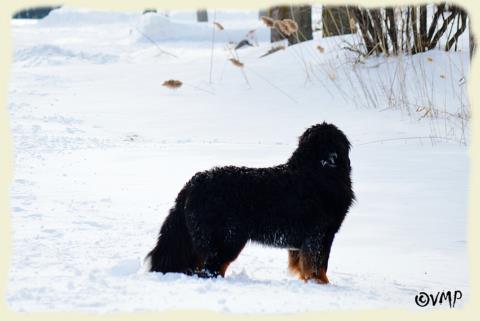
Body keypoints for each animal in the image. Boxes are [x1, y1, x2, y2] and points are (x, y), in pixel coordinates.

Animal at [145, 121, 352, 282]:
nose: (332, 158)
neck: (319, 171)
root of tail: (194, 183)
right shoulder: (319, 234)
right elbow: (319, 265)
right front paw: (322, 284)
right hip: (228, 239)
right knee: (211, 269)